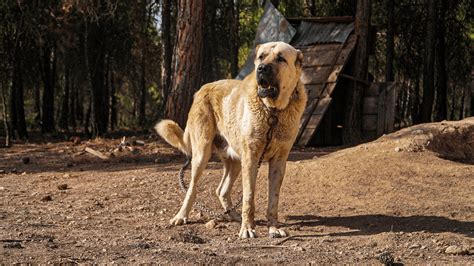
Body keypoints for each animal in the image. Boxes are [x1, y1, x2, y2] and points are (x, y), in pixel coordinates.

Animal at [156, 41, 308, 239]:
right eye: (261, 56)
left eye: (281, 58)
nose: (261, 68)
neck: (273, 112)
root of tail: (202, 89)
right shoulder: (251, 159)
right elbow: (248, 197)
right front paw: (247, 228)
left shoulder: (279, 161)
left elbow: (273, 200)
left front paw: (273, 227)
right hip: (202, 155)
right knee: (192, 189)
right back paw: (181, 216)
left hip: (235, 161)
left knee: (221, 190)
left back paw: (233, 215)